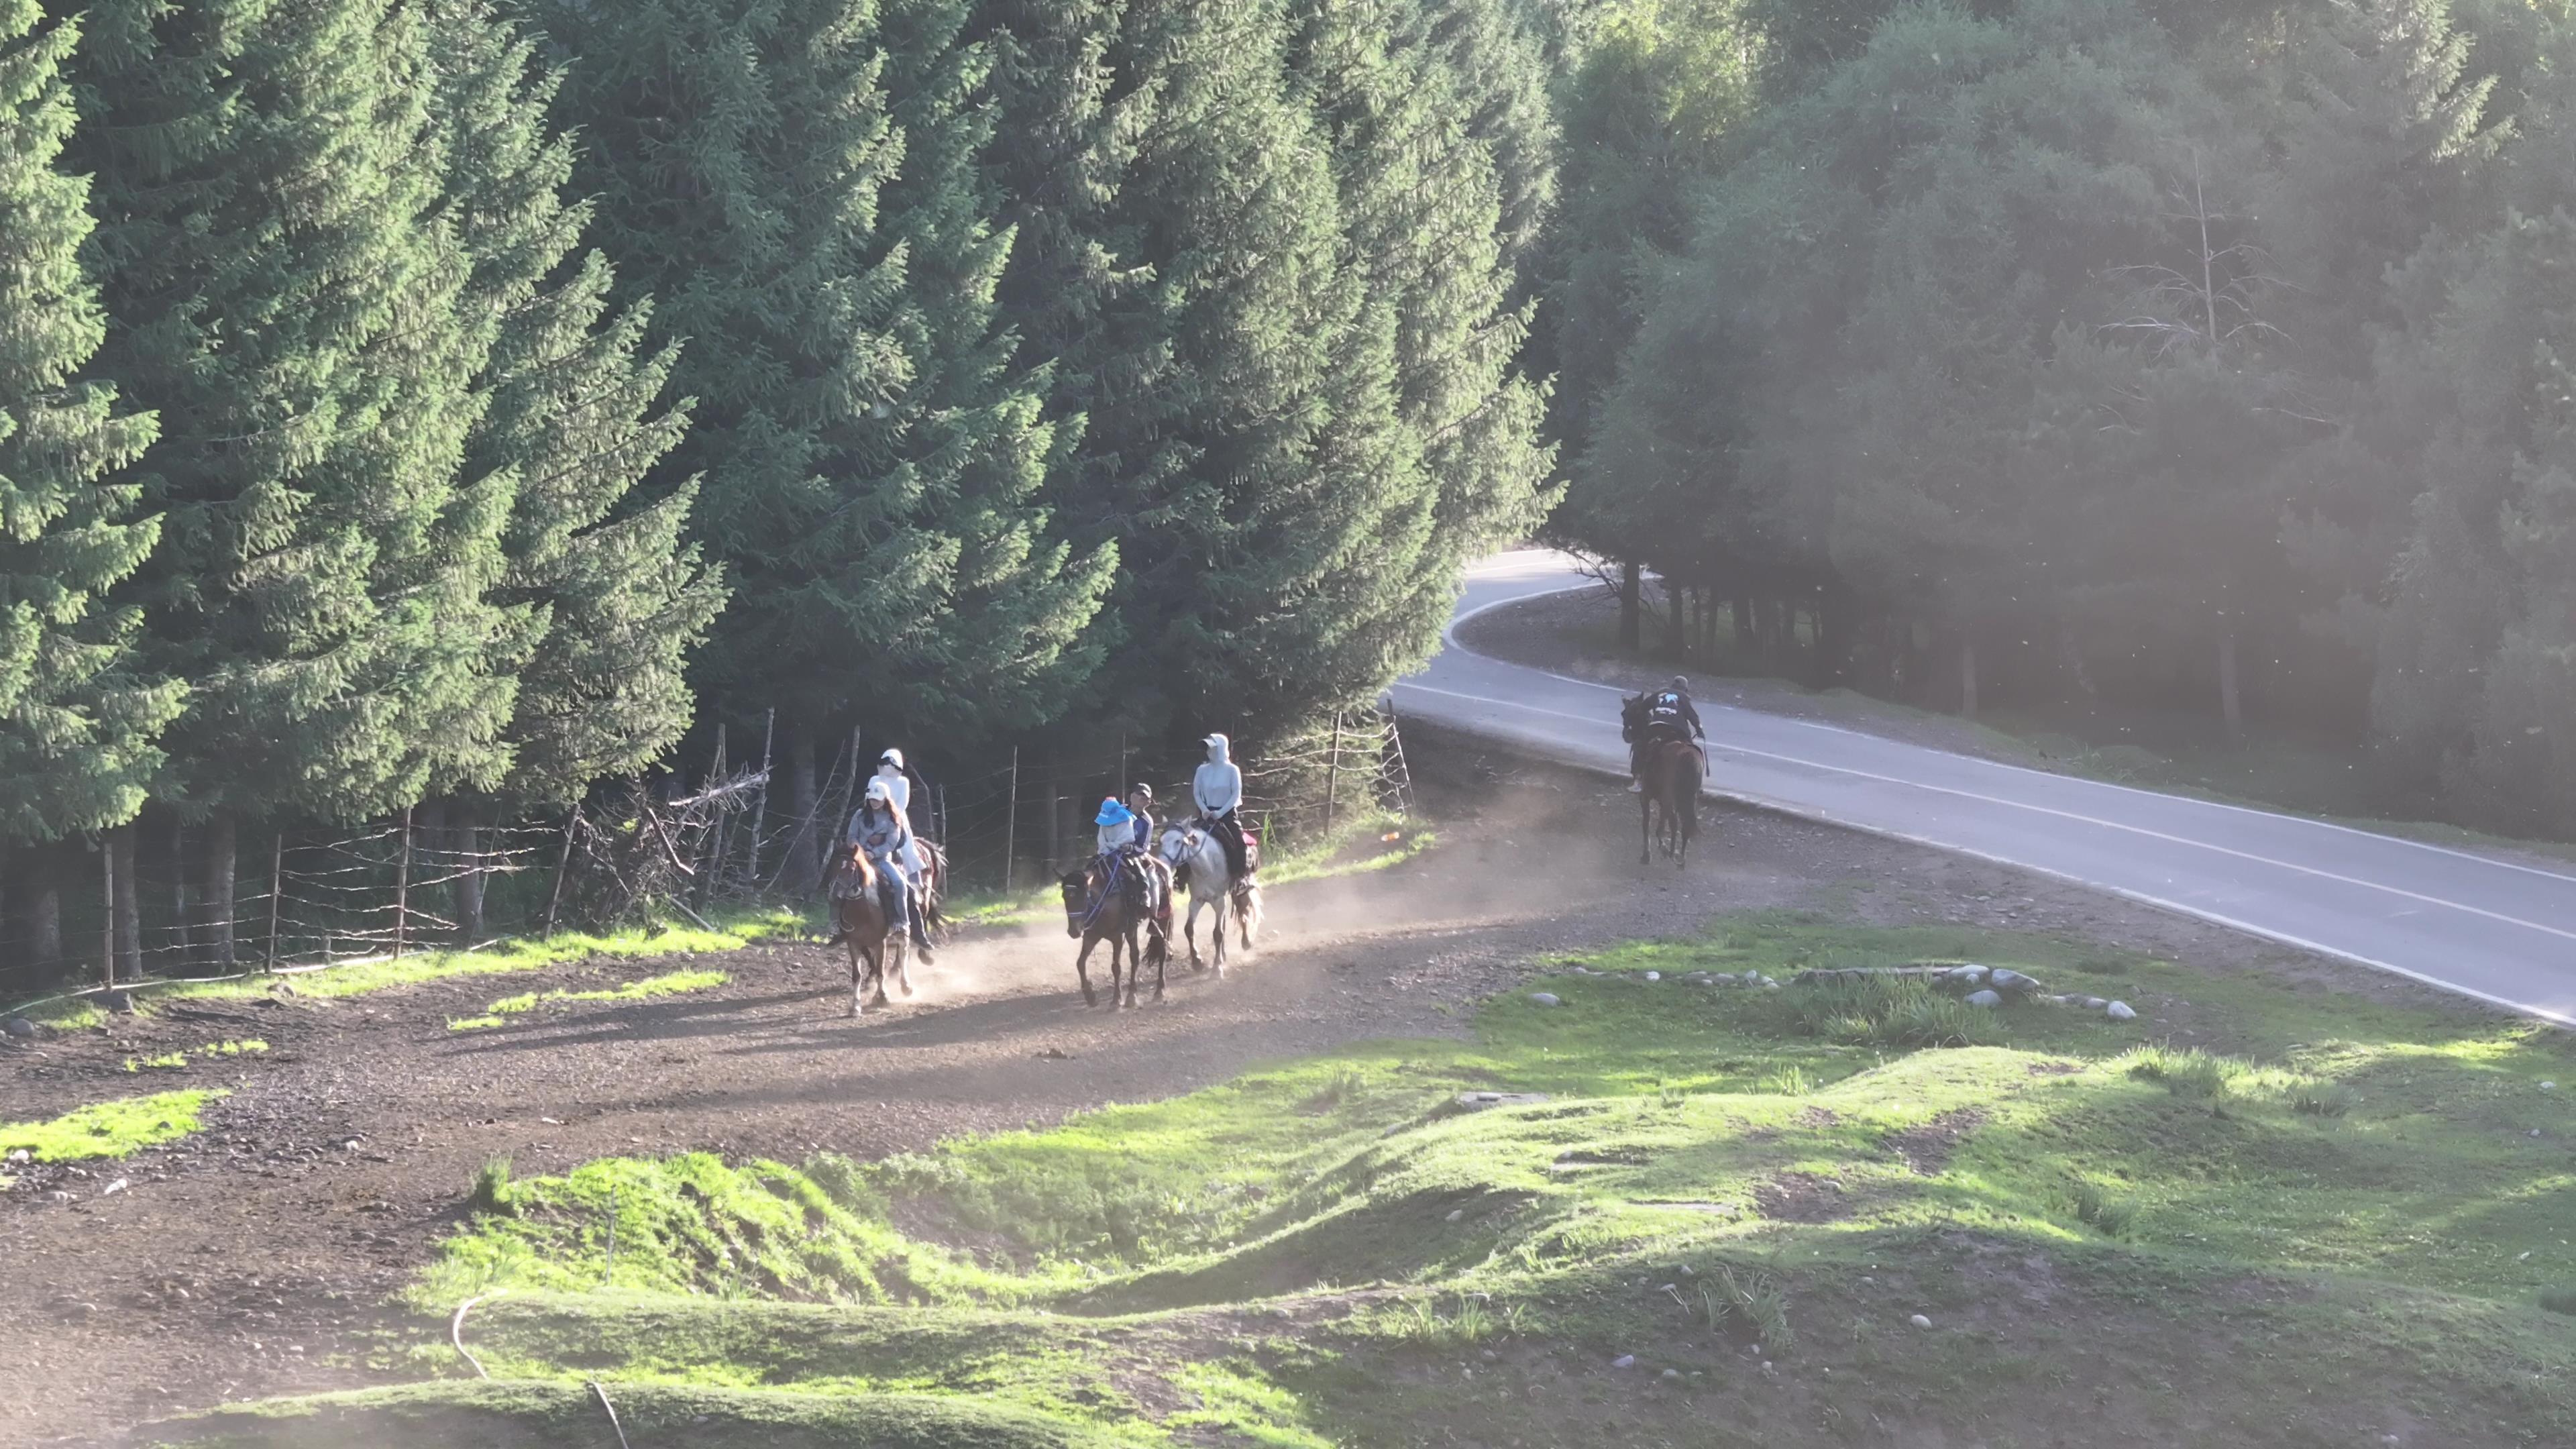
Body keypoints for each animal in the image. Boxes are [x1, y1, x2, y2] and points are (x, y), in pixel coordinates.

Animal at [829, 835, 912, 1016]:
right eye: (834, 867)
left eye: (851, 869)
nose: (834, 897)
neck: (864, 910)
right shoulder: (853, 943)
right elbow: (857, 975)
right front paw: (855, 1006)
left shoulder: (881, 942)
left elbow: (881, 971)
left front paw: (884, 997)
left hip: (903, 931)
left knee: (903, 952)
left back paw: (906, 987)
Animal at [1051, 856, 1175, 1005]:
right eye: (1064, 897)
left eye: (1083, 896)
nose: (1073, 931)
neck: (1104, 900)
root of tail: (1163, 867)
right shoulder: (1091, 936)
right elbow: (1080, 963)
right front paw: (1090, 996)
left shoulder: (1117, 937)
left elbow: (1116, 967)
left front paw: (1116, 1000)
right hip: (1132, 929)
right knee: (1135, 956)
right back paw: (1132, 996)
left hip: (1162, 919)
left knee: (1161, 951)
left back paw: (1159, 991)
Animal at [1164, 820, 1262, 974]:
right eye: (1162, 841)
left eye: (1177, 841)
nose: (1162, 861)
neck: (1206, 866)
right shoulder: (1196, 901)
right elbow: (1189, 929)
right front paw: (1197, 961)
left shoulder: (1218, 900)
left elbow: (1218, 933)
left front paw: (1217, 967)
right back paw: (1224, 954)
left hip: (1239, 889)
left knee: (1243, 910)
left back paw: (1246, 942)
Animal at [1638, 737, 1700, 861]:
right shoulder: (1664, 801)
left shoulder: (1646, 797)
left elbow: (1647, 824)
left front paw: (1648, 854)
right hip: (1689, 799)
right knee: (1686, 824)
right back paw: (1680, 857)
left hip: (1671, 798)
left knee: (1675, 822)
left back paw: (1670, 852)